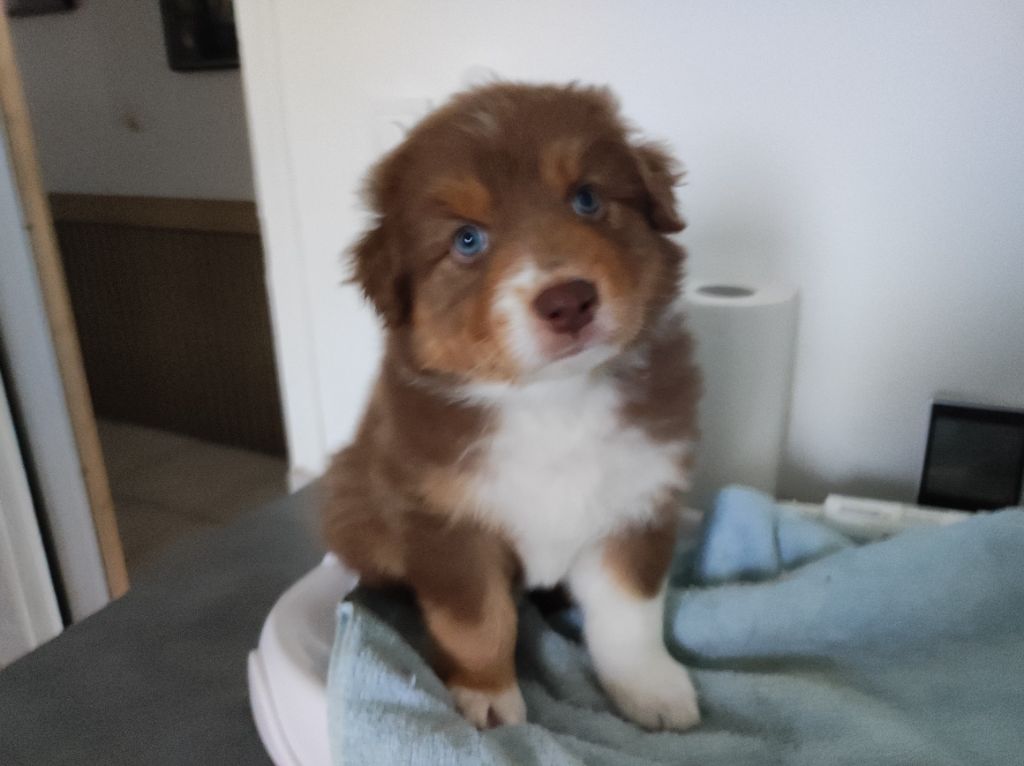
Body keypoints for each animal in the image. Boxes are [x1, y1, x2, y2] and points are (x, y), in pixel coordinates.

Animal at [323, 82, 702, 730]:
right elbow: (476, 620)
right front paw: (487, 698)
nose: (568, 302)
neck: (554, 400)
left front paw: (651, 690)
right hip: (355, 497)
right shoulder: (445, 521)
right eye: (467, 240)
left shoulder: (639, 500)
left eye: (586, 199)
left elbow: (630, 615)